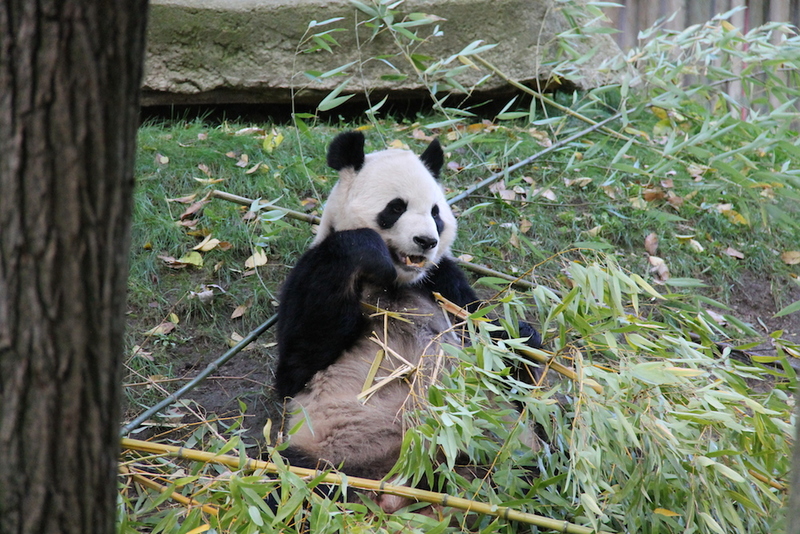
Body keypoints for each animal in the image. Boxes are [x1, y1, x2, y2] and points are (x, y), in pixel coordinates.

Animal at [272, 132, 540, 512]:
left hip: (498, 439)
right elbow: (298, 361)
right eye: (396, 207)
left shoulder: (442, 281)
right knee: (294, 485)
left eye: (435, 213)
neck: (396, 281)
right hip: (326, 453)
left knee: (523, 469)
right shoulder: (312, 270)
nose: (426, 241)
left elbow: (491, 335)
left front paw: (525, 340)